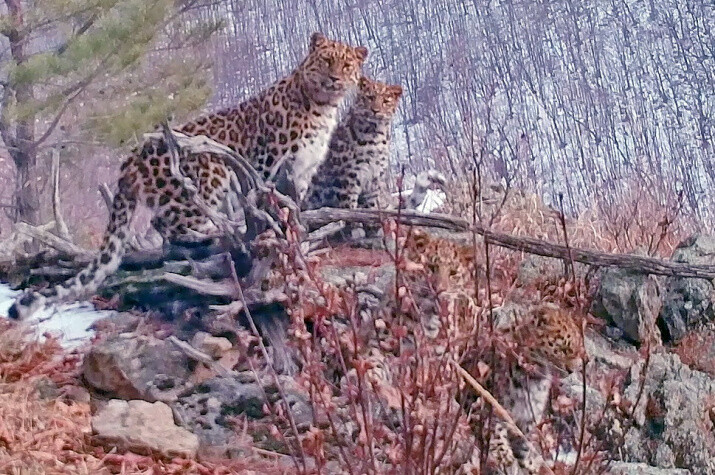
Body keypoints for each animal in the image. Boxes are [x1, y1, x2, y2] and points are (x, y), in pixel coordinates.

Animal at [8, 33, 370, 322]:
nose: (335, 79)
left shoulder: (303, 172)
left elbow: (294, 207)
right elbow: (270, 201)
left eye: (346, 66)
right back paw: (212, 230)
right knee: (170, 225)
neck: (323, 108)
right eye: (326, 61)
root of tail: (131, 158)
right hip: (205, 176)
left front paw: (298, 229)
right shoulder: (271, 164)